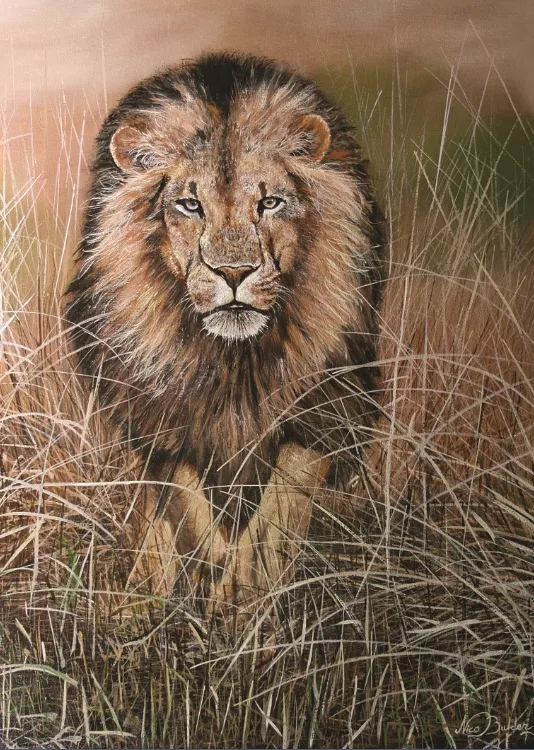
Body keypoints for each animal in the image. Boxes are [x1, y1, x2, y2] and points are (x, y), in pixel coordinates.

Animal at [65, 52, 386, 611]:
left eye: (270, 203)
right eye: (190, 205)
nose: (233, 272)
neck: (232, 358)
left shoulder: (324, 407)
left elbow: (277, 514)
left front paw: (243, 601)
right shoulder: (161, 418)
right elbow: (186, 508)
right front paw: (207, 585)